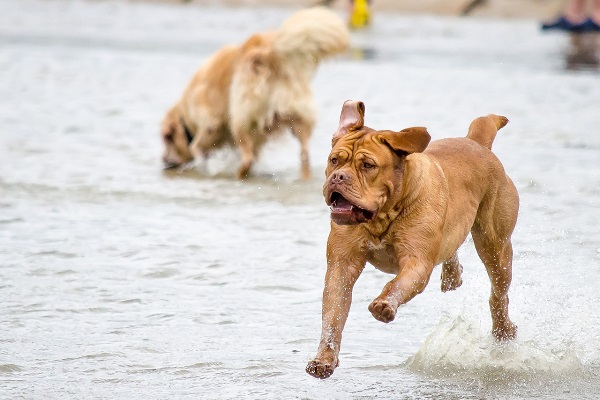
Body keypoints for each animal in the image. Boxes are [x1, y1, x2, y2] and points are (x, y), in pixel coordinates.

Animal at [159, 7, 350, 179]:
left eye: (167, 138)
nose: (164, 162)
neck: (186, 115)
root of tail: (270, 54)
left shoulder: (210, 126)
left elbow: (198, 149)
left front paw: (204, 167)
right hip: (297, 118)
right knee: (304, 155)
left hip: (241, 119)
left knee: (247, 158)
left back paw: (239, 175)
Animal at [308, 99, 516, 378]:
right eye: (334, 160)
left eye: (368, 165)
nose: (338, 177)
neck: (383, 215)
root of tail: (478, 143)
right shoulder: (341, 265)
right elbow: (332, 317)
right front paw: (324, 359)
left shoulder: (417, 261)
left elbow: (397, 284)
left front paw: (384, 304)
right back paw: (452, 275)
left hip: (495, 246)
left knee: (498, 293)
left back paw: (504, 329)